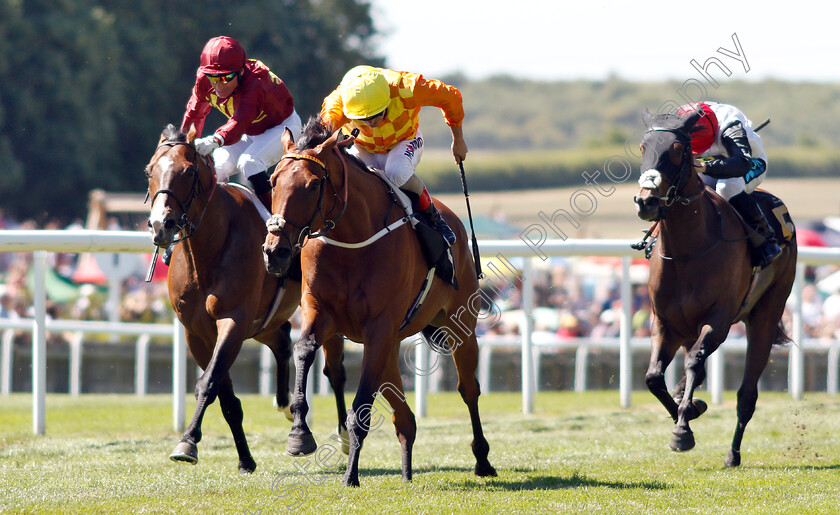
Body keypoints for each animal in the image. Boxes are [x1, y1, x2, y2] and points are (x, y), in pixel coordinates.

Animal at [143, 123, 346, 474]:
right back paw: (284, 404)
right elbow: (225, 396)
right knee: (281, 341)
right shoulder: (197, 332)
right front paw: (244, 459)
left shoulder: (233, 320)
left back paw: (345, 433)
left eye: (188, 171)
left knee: (335, 371)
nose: (161, 225)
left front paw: (188, 442)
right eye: (149, 171)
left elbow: (208, 383)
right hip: (264, 321)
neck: (209, 248)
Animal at [262, 117, 496, 488]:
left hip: (458, 326)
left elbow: (361, 409)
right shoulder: (321, 313)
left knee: (468, 389)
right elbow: (304, 350)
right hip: (392, 344)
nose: (276, 252)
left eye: (312, 185)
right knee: (405, 416)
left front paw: (350, 476)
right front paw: (299, 433)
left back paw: (483, 460)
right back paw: (407, 472)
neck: (351, 239)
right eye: (273, 182)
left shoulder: (379, 329)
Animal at [632, 109, 796, 468]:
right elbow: (653, 377)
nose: (646, 202)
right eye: (642, 147)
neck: (687, 250)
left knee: (746, 394)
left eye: (677, 148)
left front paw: (682, 430)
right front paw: (689, 407)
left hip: (765, 315)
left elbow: (695, 362)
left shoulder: (718, 319)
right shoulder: (665, 323)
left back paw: (732, 453)